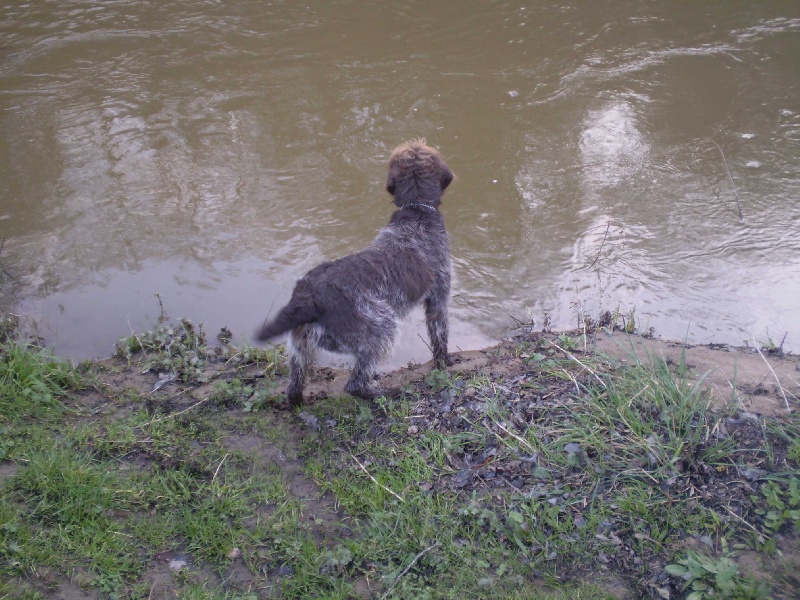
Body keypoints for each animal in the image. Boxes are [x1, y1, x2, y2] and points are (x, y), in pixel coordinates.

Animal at [256, 138, 456, 406]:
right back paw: (384, 393)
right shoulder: (438, 299)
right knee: (355, 383)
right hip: (382, 330)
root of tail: (309, 299)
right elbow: (440, 337)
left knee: (294, 387)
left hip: (301, 347)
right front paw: (445, 362)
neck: (417, 212)